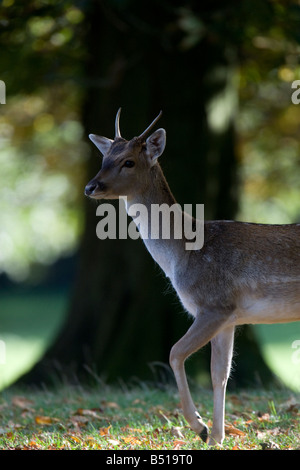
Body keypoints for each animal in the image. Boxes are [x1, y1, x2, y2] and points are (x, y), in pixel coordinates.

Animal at [84, 108, 300, 446]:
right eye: (104, 157)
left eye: (128, 161)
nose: (91, 187)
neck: (182, 254)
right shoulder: (229, 317)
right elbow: (219, 374)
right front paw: (216, 438)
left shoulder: (213, 304)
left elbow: (175, 353)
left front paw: (199, 427)